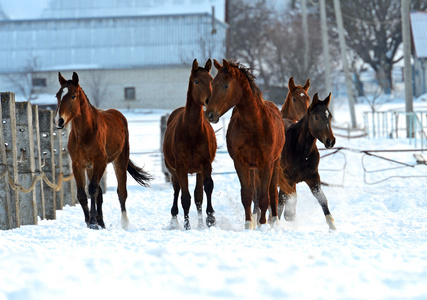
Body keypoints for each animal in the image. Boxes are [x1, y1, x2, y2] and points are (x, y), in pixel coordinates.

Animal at [54, 72, 152, 230]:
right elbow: (83, 193)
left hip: (120, 160)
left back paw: (124, 223)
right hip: (91, 167)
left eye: (73, 96)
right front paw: (89, 221)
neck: (85, 133)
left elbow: (93, 189)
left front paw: (93, 221)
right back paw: (102, 222)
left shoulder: (100, 162)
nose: (59, 121)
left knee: (121, 191)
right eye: (57, 95)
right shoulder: (78, 165)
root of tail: (119, 116)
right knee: (99, 193)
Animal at [163, 59, 217, 230]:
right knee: (177, 191)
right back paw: (174, 219)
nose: (209, 101)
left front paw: (210, 219)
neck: (192, 131)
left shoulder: (205, 165)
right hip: (174, 171)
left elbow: (207, 188)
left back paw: (200, 223)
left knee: (198, 195)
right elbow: (185, 197)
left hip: (198, 170)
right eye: (196, 81)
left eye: (212, 80)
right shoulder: (181, 168)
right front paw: (187, 226)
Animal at [206, 59, 286, 231]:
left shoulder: (267, 163)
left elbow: (264, 197)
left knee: (272, 193)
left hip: (275, 163)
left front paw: (263, 225)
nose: (209, 114)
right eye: (213, 83)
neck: (254, 126)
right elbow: (247, 195)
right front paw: (249, 224)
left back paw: (273, 221)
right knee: (255, 194)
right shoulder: (240, 163)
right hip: (253, 168)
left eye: (226, 85)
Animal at [280, 92, 340, 231]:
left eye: (330, 116)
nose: (330, 141)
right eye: (316, 117)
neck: (301, 152)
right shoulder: (287, 179)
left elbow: (322, 199)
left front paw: (332, 227)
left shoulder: (313, 178)